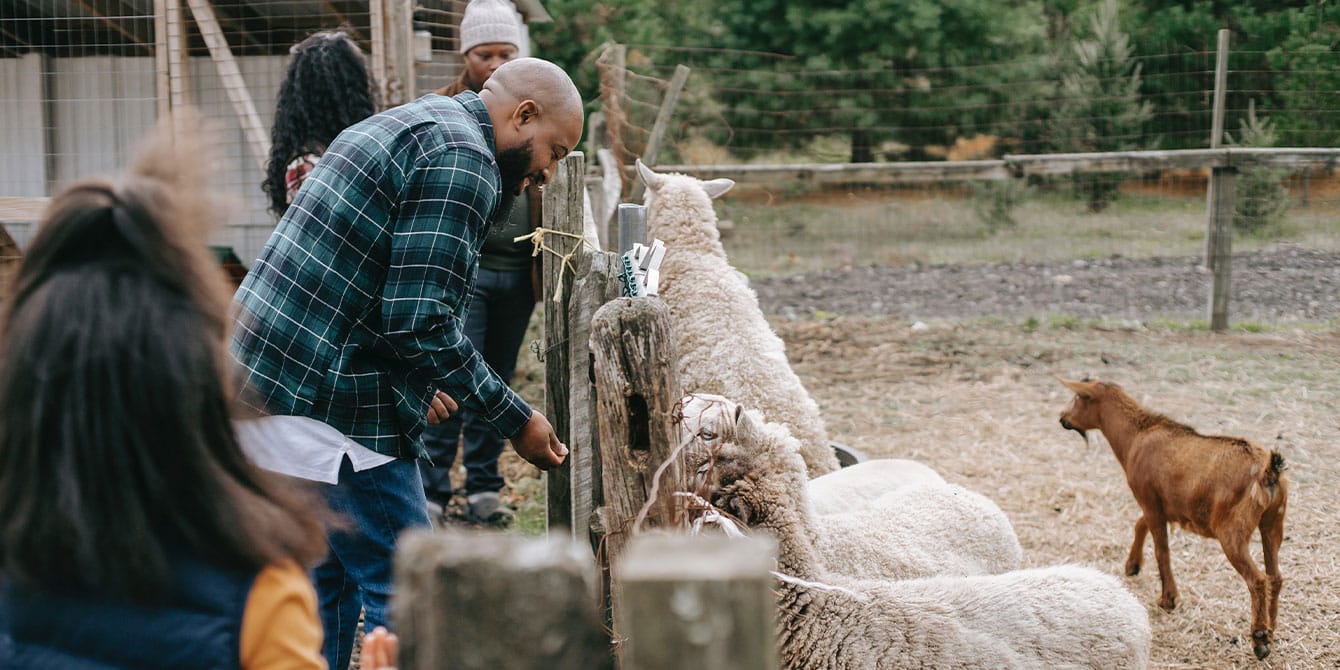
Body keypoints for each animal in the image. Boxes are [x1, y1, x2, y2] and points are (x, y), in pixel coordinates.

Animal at [1055, 377, 1286, 659]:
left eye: (1079, 398)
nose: (1062, 418)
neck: (1137, 435)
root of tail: (1268, 471)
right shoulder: (1159, 505)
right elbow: (1140, 524)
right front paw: (1132, 566)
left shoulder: (1149, 499)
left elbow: (1161, 550)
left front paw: (1168, 599)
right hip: (1273, 522)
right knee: (1275, 577)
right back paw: (1271, 629)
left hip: (1233, 531)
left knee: (1258, 580)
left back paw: (1260, 639)